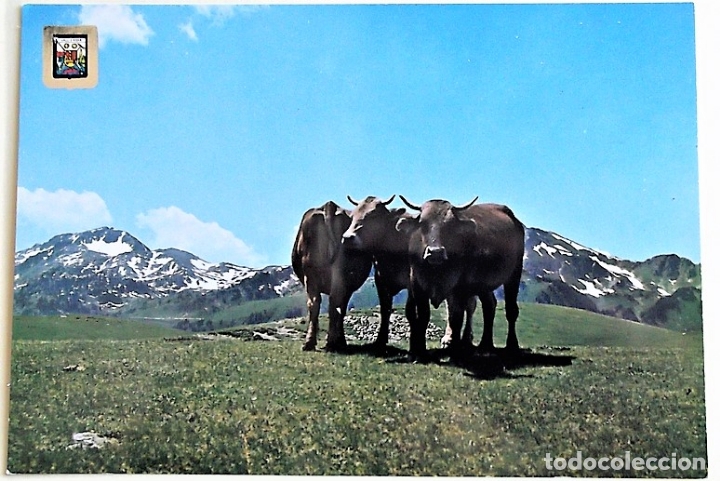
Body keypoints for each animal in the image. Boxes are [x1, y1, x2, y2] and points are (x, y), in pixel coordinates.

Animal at [291, 201, 373, 351]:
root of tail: (330, 206)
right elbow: (343, 309)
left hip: (312, 272)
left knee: (317, 303)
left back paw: (314, 343)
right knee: (331, 303)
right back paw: (327, 342)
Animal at [341, 195, 476, 349]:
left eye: (373, 215)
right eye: (352, 216)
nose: (347, 237)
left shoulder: (411, 280)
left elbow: (410, 312)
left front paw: (414, 342)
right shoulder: (380, 278)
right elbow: (385, 309)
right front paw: (380, 340)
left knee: (469, 306)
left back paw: (466, 338)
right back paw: (448, 338)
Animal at [397, 196, 525, 357]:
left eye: (450, 225)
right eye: (422, 223)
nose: (436, 252)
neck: (437, 270)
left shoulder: (460, 287)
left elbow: (456, 317)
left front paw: (455, 347)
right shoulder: (417, 284)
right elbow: (423, 316)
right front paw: (419, 349)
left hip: (514, 273)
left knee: (511, 310)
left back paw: (512, 345)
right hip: (483, 284)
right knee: (489, 306)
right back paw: (485, 344)